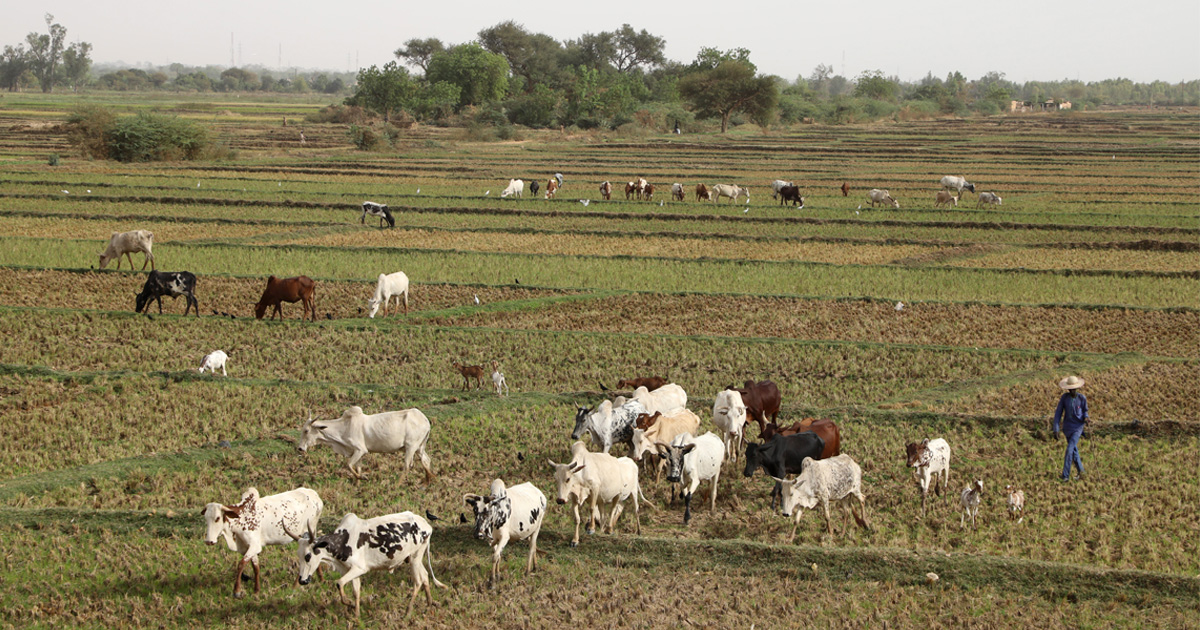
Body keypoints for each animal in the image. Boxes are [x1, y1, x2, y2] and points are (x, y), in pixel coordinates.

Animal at [289, 508, 446, 614]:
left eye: (308, 556)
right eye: (299, 555)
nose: (302, 580)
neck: (342, 541)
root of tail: (426, 525)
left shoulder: (359, 568)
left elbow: (339, 583)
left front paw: (349, 604)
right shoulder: (351, 570)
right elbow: (355, 591)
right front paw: (356, 614)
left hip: (414, 558)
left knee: (418, 581)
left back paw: (408, 611)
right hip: (415, 559)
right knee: (425, 576)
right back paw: (429, 604)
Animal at [297, 405, 434, 480]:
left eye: (306, 430)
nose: (300, 448)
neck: (344, 427)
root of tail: (425, 420)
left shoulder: (360, 450)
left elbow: (349, 465)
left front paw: (362, 477)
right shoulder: (357, 453)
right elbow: (357, 468)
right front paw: (358, 481)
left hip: (410, 447)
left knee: (407, 466)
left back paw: (397, 485)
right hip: (419, 447)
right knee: (426, 460)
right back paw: (427, 482)